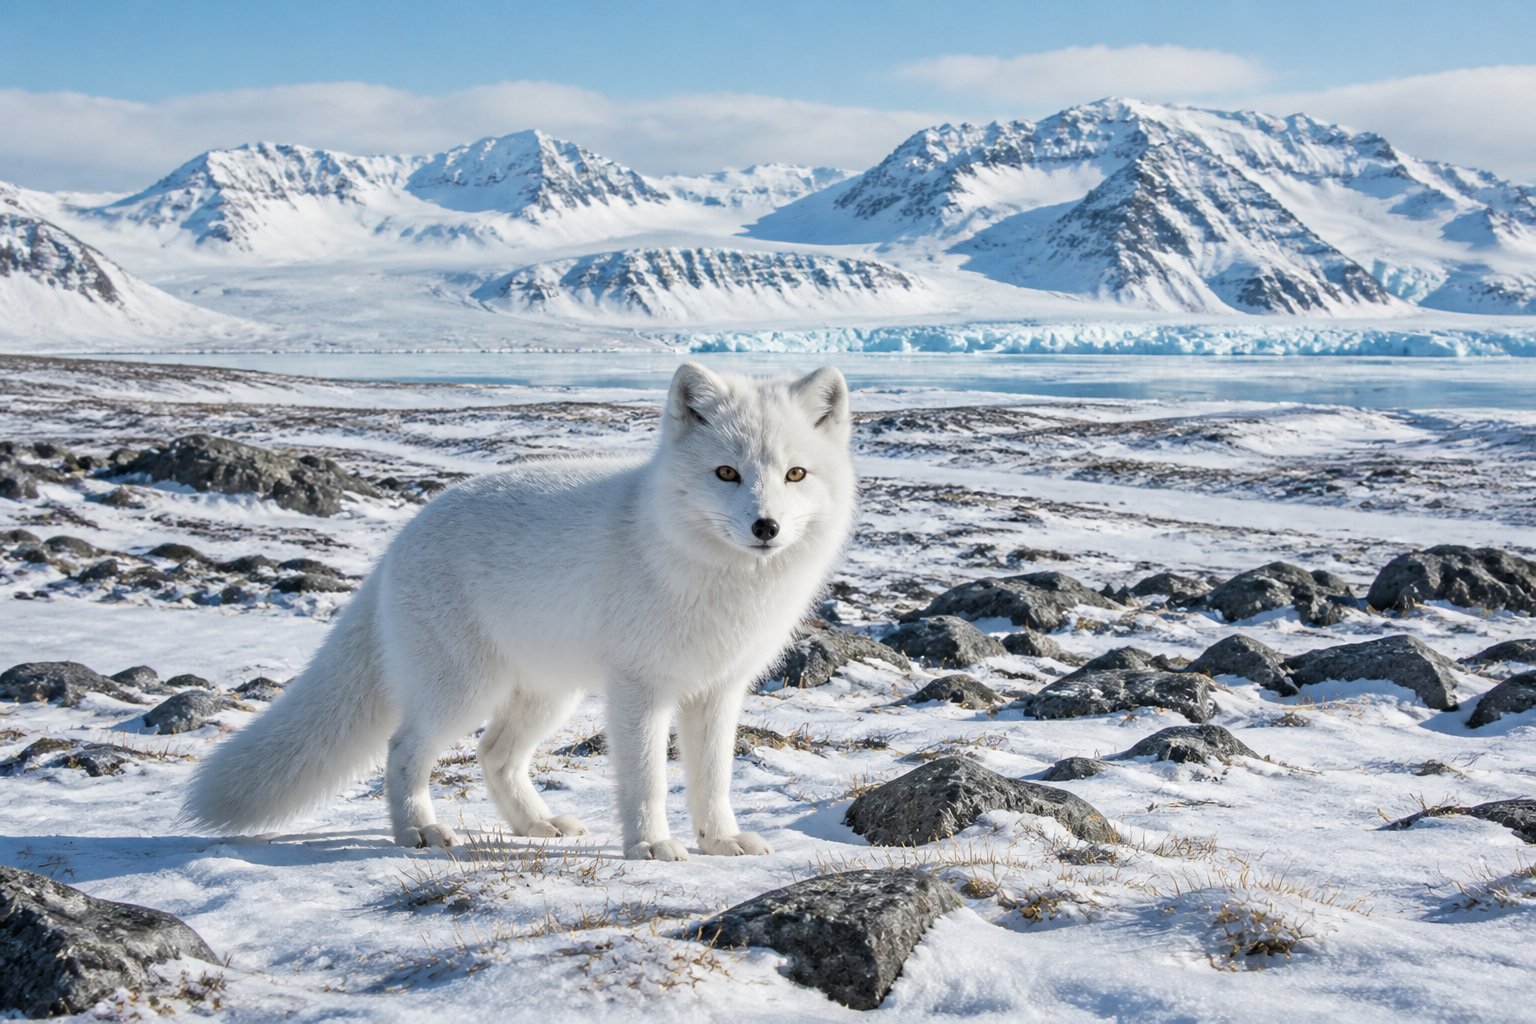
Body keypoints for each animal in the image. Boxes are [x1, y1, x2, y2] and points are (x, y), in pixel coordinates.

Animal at [182, 363, 855, 860]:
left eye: (796, 474)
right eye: (726, 472)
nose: (765, 527)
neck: (715, 577)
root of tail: (399, 542)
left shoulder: (717, 691)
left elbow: (713, 780)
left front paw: (719, 842)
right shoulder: (639, 687)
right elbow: (646, 779)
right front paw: (650, 847)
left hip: (546, 694)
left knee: (493, 756)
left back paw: (537, 826)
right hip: (462, 691)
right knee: (403, 748)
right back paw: (418, 832)